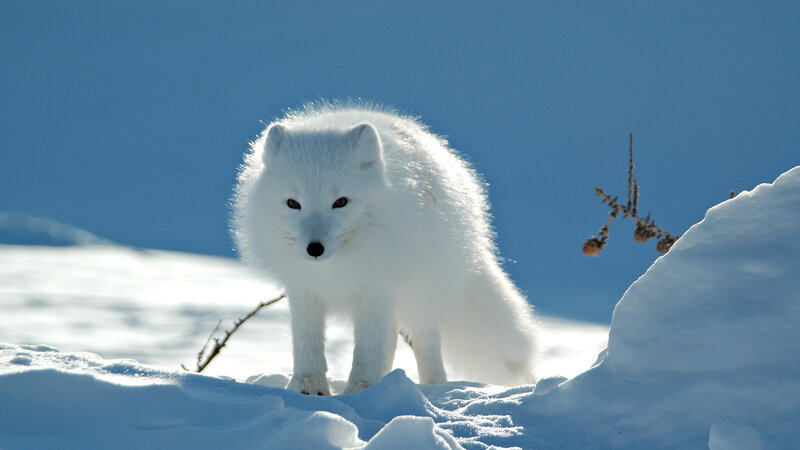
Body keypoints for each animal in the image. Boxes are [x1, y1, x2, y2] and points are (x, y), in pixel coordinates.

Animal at [232, 102, 538, 395]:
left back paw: (433, 387)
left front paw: (362, 387)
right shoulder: (304, 288)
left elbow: (368, 347)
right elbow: (308, 341)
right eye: (293, 203)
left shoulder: (377, 285)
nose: (314, 249)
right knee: (390, 338)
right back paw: (387, 380)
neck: (337, 265)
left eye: (340, 202)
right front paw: (308, 385)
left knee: (425, 339)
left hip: (420, 292)